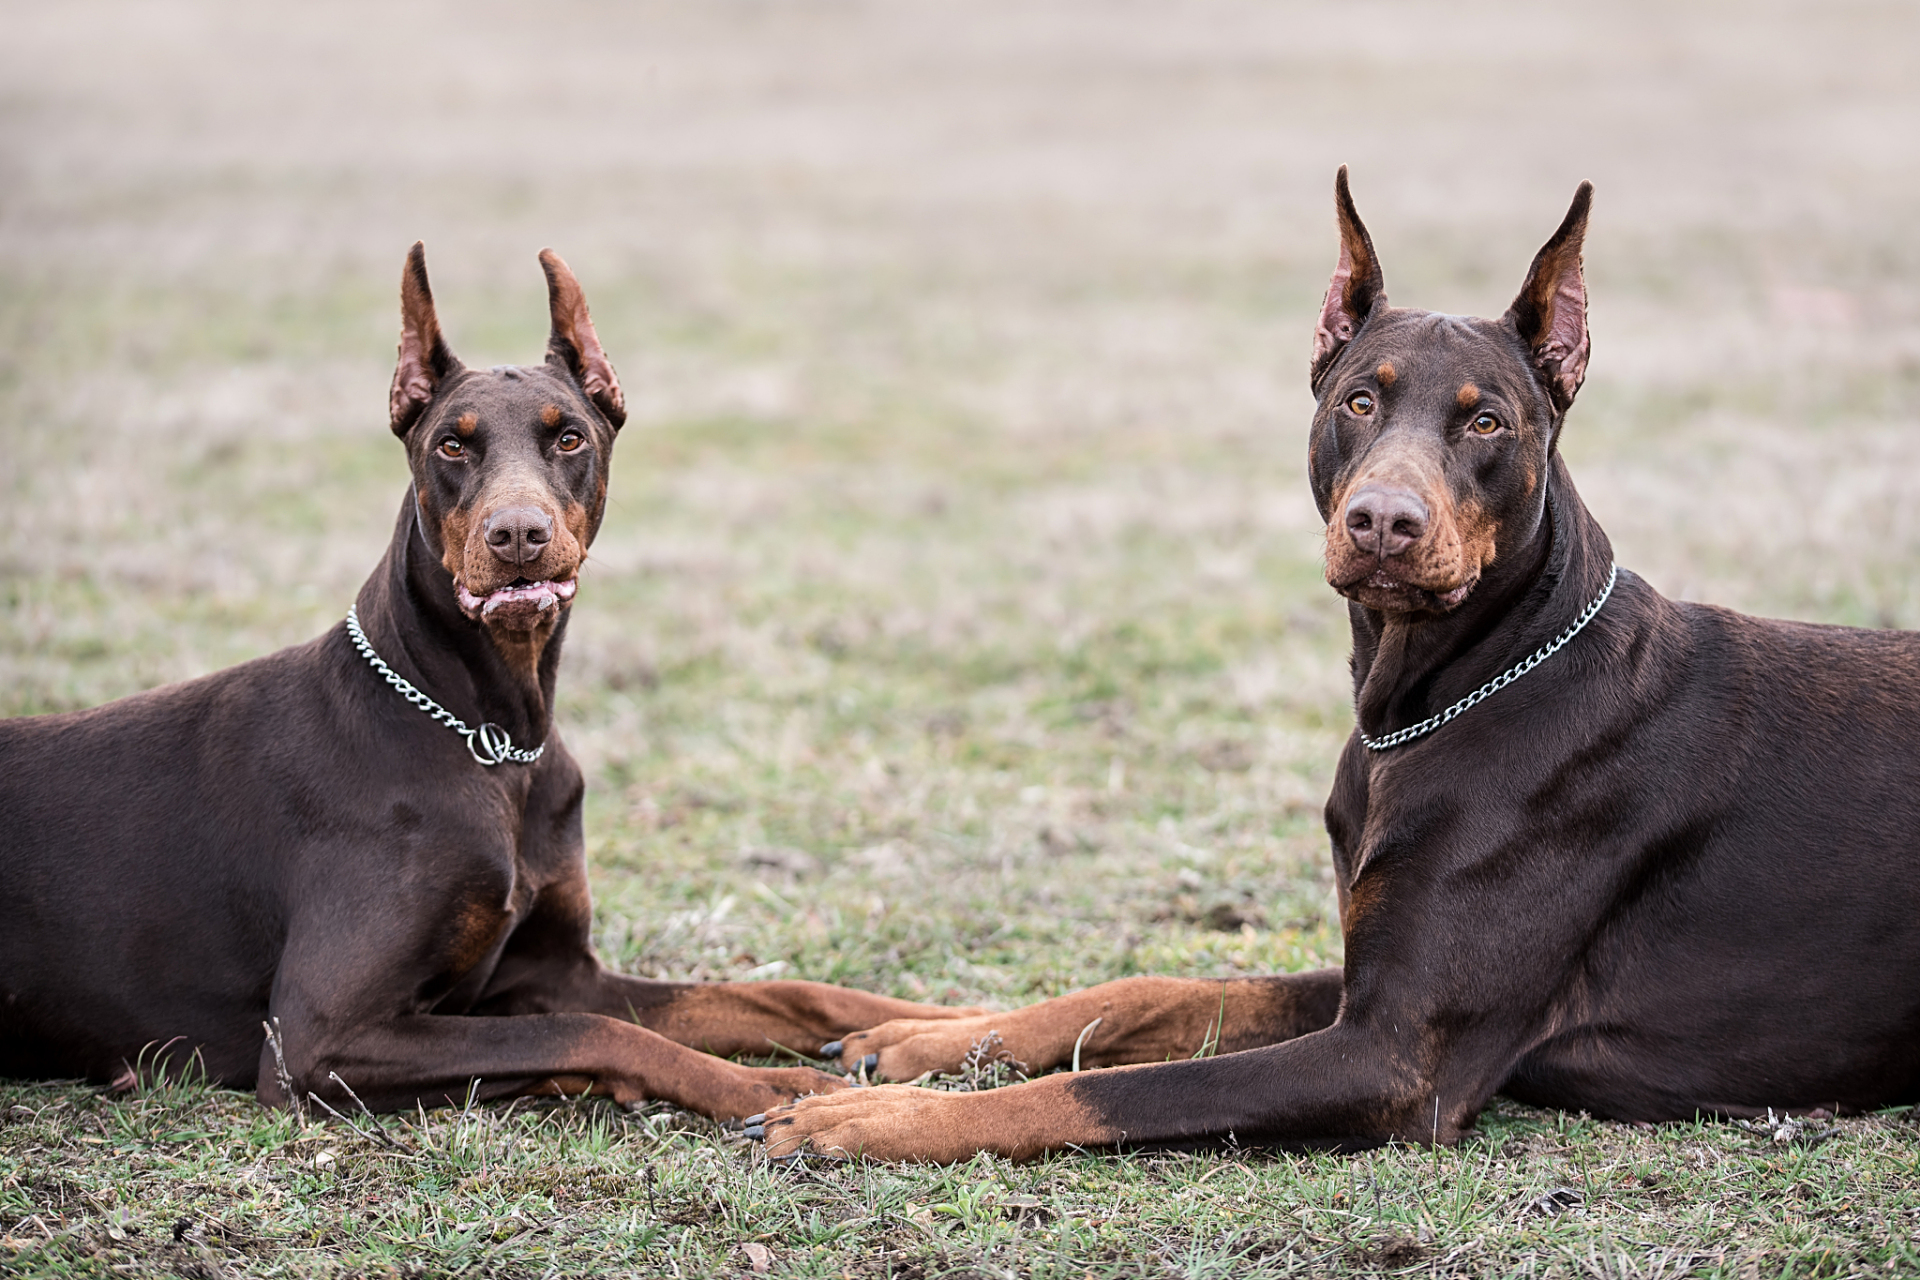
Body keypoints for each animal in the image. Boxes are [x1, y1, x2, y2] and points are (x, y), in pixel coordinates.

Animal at [0, 242, 967, 1120]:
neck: (495, 736)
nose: (517, 535)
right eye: (452, 446)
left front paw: (941, 1024)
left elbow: (786, 994)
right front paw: (776, 1086)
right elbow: (595, 1032)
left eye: (568, 435)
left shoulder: (559, 969)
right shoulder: (317, 1039)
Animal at [744, 169, 1920, 1159]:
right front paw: (926, 1040)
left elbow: (1111, 1088)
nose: (1384, 521)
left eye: (1486, 421)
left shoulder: (1398, 1056)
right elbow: (1144, 991)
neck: (1449, 696)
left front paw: (874, 1114)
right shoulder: (1360, 982)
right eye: (1360, 400)